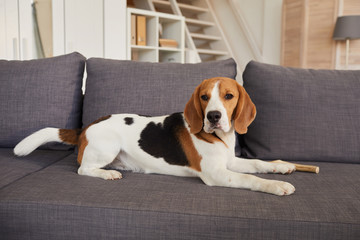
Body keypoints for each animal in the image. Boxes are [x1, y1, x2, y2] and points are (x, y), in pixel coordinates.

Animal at [14, 78, 296, 196]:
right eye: (204, 97)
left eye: (229, 96)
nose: (214, 116)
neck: (218, 137)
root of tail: (87, 126)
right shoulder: (217, 173)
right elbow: (251, 178)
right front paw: (277, 186)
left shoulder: (230, 162)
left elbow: (258, 165)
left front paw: (283, 167)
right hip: (107, 147)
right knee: (84, 169)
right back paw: (108, 173)